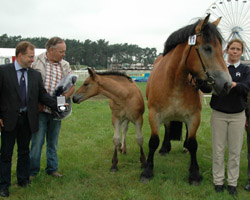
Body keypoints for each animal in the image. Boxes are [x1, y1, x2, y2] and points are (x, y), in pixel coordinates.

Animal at [141, 14, 232, 185]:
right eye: (207, 48)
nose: (227, 84)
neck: (174, 82)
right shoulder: (154, 115)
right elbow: (153, 141)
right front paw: (148, 171)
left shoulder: (194, 116)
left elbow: (193, 143)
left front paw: (194, 173)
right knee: (168, 128)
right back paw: (165, 148)